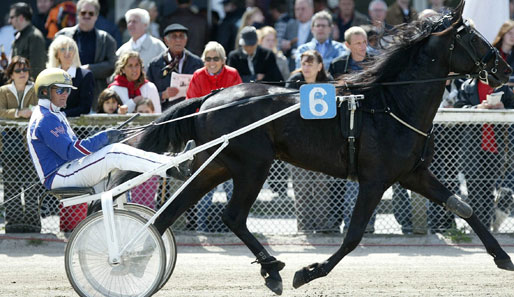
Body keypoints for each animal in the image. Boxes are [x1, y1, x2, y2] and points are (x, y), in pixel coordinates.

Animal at [119, 3, 512, 294]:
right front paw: (309, 271)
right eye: (472, 36)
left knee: (171, 212)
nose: (505, 68)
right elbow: (353, 236)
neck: (391, 104)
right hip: (251, 165)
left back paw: (138, 257)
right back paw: (272, 268)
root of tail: (212, 96)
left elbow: (464, 208)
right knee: (232, 216)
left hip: (215, 165)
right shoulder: (375, 180)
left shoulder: (413, 174)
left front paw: (501, 257)